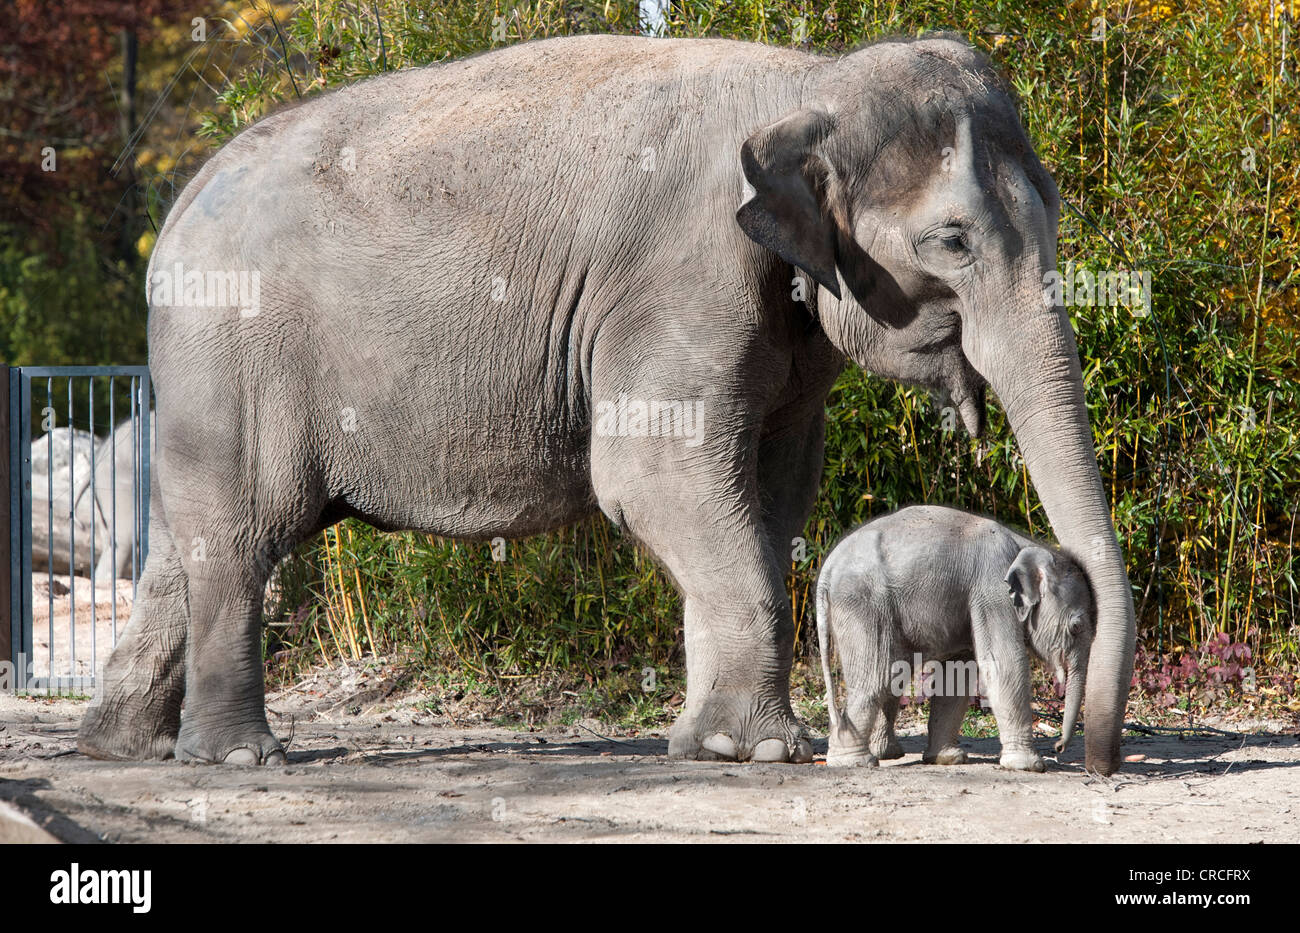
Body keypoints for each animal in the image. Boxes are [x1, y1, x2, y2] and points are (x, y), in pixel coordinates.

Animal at [816, 506, 1092, 769]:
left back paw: (885, 753)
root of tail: (827, 568)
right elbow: (1003, 663)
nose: (1058, 747)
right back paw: (854, 761)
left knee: (893, 671)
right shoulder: (992, 591)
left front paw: (947, 759)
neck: (1025, 544)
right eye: (1076, 627)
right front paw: (1030, 766)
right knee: (875, 673)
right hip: (863, 604)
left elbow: (958, 673)